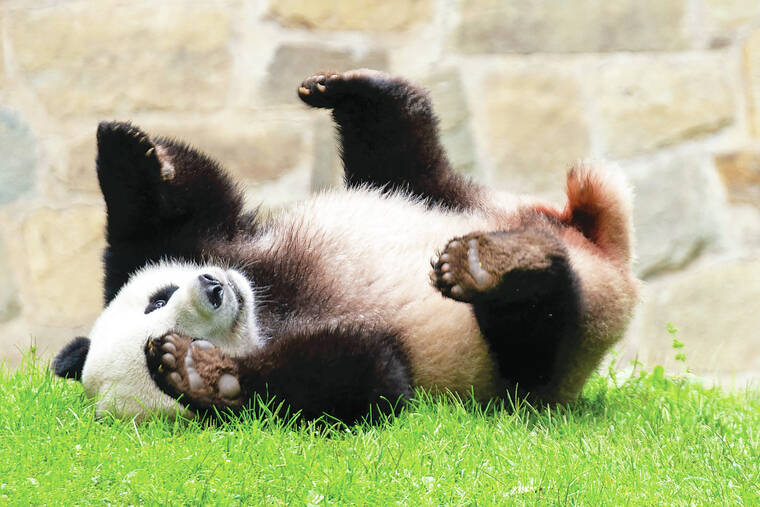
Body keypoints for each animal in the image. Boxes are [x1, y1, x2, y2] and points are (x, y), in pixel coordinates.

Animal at [52, 68, 636, 424]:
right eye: (174, 324)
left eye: (158, 298)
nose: (215, 288)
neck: (267, 306)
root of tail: (606, 255)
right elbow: (368, 379)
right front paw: (201, 374)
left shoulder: (219, 244)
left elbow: (180, 212)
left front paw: (125, 149)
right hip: (539, 362)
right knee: (538, 331)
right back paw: (495, 268)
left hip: (453, 197)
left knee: (403, 154)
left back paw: (355, 91)